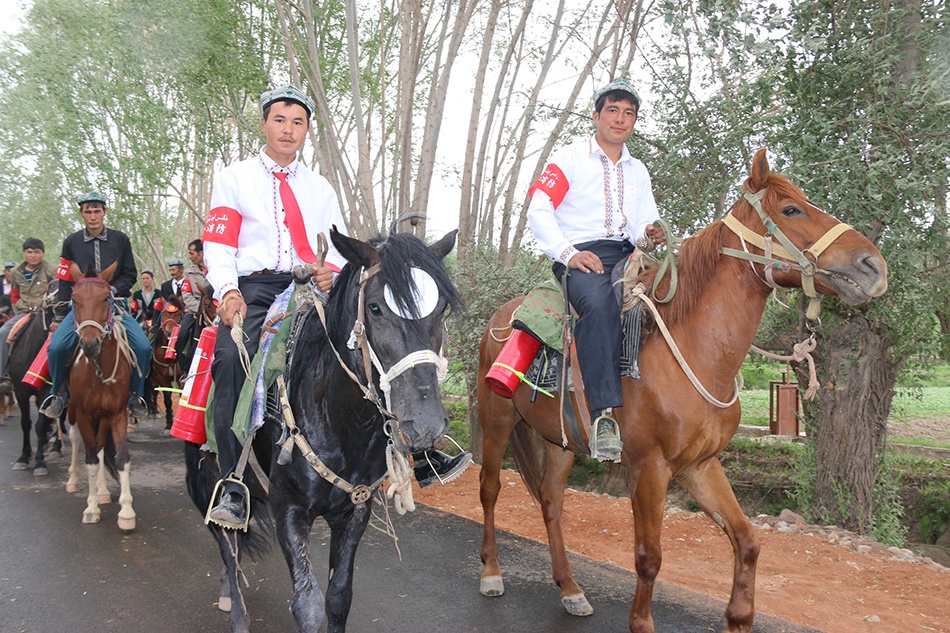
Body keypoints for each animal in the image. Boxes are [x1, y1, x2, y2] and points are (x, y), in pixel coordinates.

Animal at [7, 282, 63, 474]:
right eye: (51, 286)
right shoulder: (21, 390)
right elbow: (26, 423)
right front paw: (24, 457)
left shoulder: (47, 392)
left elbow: (40, 424)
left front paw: (39, 462)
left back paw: (56, 447)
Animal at [64, 260, 136, 528]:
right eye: (74, 299)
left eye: (106, 297)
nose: (90, 344)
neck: (98, 369)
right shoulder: (84, 414)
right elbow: (91, 460)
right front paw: (91, 507)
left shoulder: (116, 413)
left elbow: (121, 457)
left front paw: (126, 512)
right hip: (72, 410)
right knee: (77, 440)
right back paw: (73, 481)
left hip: (102, 417)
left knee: (101, 445)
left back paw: (104, 492)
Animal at [183, 225, 464, 628]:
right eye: (375, 307)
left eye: (440, 309)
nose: (425, 424)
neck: (340, 424)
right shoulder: (288, 510)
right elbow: (309, 605)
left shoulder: (354, 512)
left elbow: (338, 598)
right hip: (209, 471)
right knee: (226, 538)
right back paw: (235, 607)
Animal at [480, 149, 888, 632]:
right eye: (791, 210)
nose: (873, 266)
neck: (693, 349)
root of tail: (500, 317)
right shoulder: (649, 468)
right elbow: (649, 557)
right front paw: (642, 622)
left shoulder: (700, 465)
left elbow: (747, 540)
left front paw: (739, 617)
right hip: (496, 419)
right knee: (490, 489)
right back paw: (491, 572)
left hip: (558, 440)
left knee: (551, 501)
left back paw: (570, 588)